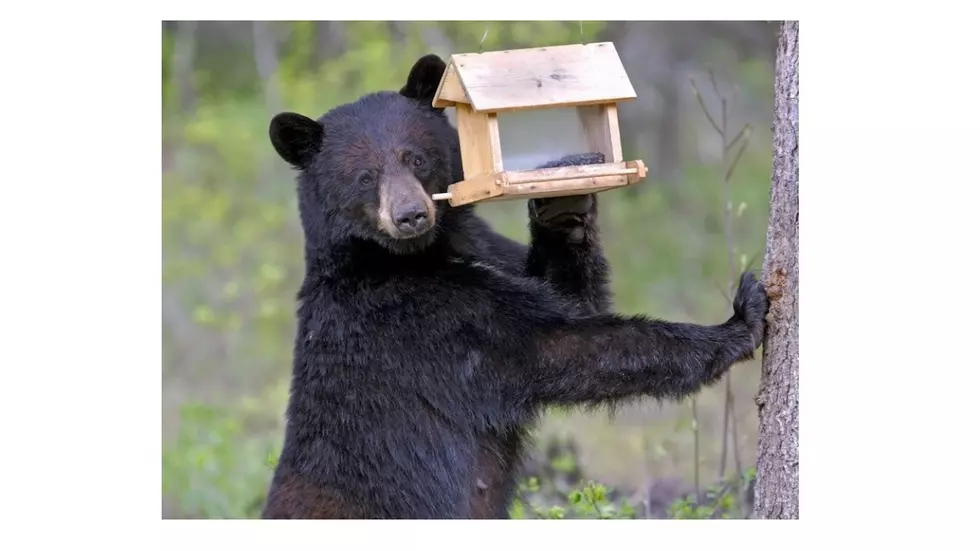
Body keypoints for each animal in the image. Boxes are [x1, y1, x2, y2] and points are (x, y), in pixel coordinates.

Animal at [264, 54, 768, 520]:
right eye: (364, 176)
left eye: (416, 158)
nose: (410, 215)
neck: (414, 254)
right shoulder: (425, 320)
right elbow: (561, 345)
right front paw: (740, 320)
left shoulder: (490, 252)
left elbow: (570, 299)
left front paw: (564, 199)